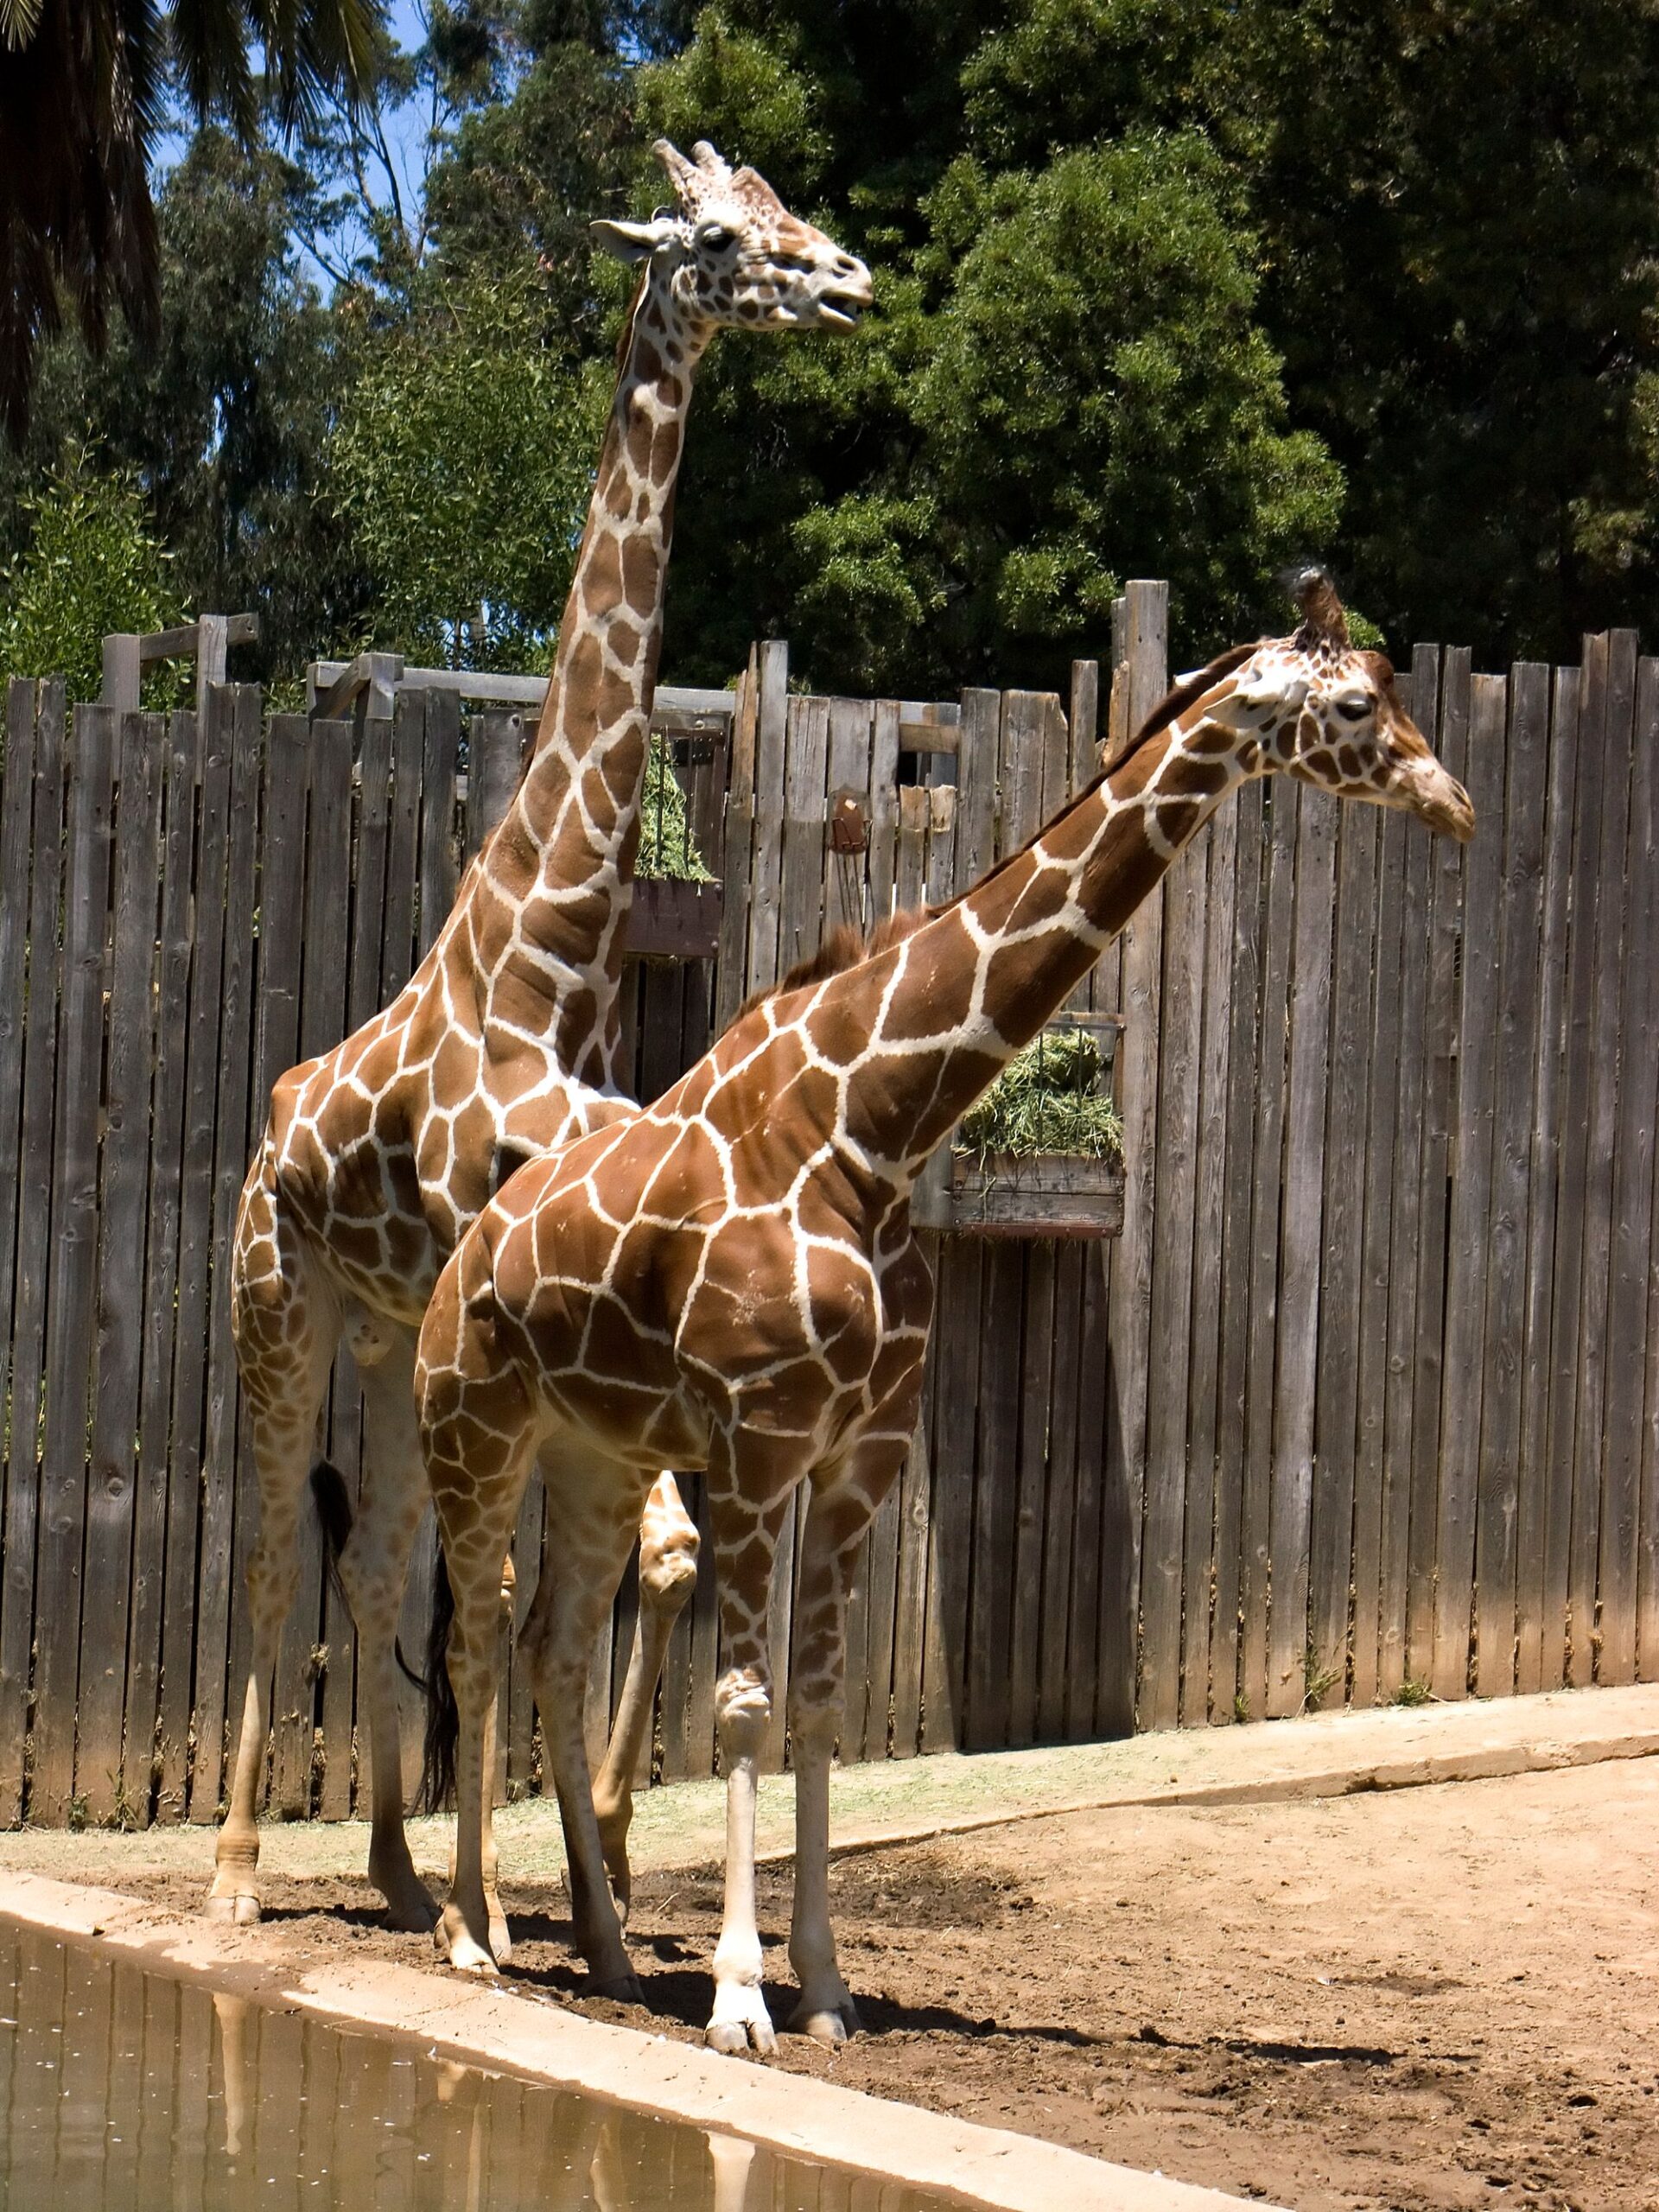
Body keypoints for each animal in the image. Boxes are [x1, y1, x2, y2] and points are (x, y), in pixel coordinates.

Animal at [211, 138, 873, 1941]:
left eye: (783, 211)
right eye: (715, 238)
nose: (846, 279)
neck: (552, 951)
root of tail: (271, 1125)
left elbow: (555, 1579)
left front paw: (564, 1890)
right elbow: (496, 1592)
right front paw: (499, 1912)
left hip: (384, 1331)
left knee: (379, 1556)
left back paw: (383, 1860)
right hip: (280, 1304)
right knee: (284, 1547)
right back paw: (242, 1870)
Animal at [413, 573, 1474, 2046]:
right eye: (1362, 705)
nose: (1457, 803)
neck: (870, 1128)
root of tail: (462, 1261)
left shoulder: (865, 1448)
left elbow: (814, 1704)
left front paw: (824, 1987)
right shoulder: (758, 1441)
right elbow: (741, 1704)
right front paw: (738, 1999)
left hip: (596, 1454)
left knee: (552, 1651)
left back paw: (615, 1960)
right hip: (474, 1430)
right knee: (470, 1644)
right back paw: (472, 1939)